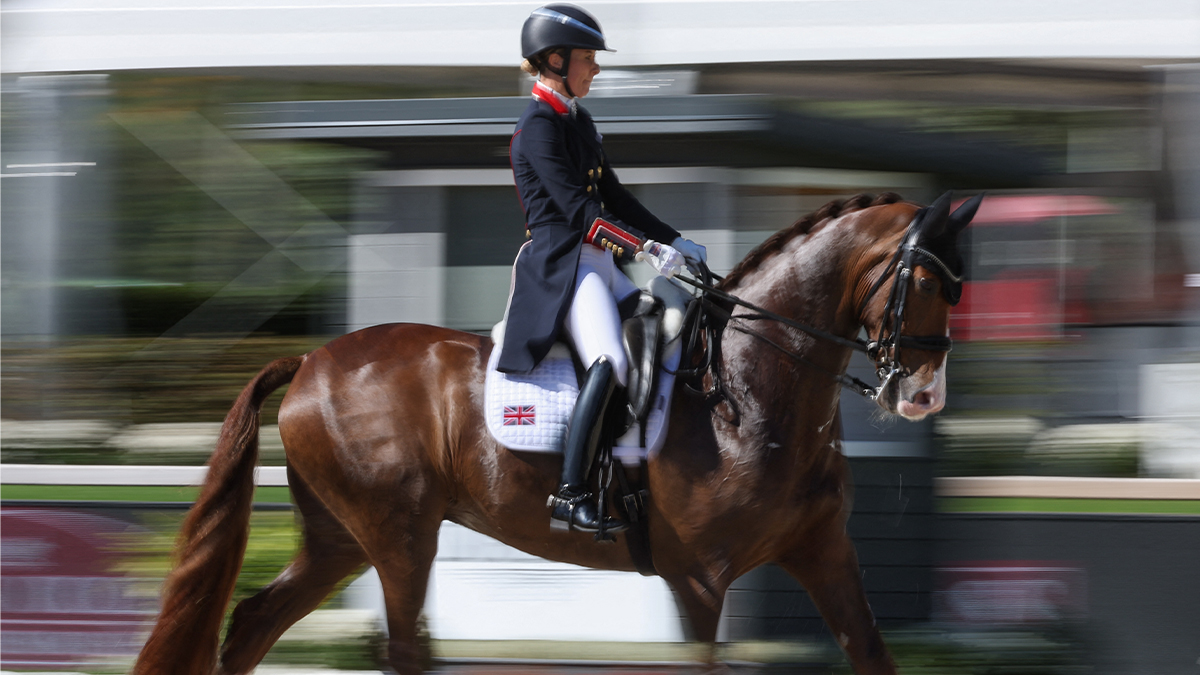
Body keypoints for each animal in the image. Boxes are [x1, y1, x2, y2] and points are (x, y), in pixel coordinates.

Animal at [131, 189, 979, 672]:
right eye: (923, 279)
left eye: (960, 284)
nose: (922, 397)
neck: (751, 384)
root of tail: (308, 358)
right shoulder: (700, 577)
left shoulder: (823, 550)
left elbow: (870, 650)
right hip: (399, 534)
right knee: (403, 647)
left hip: (339, 538)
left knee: (251, 624)